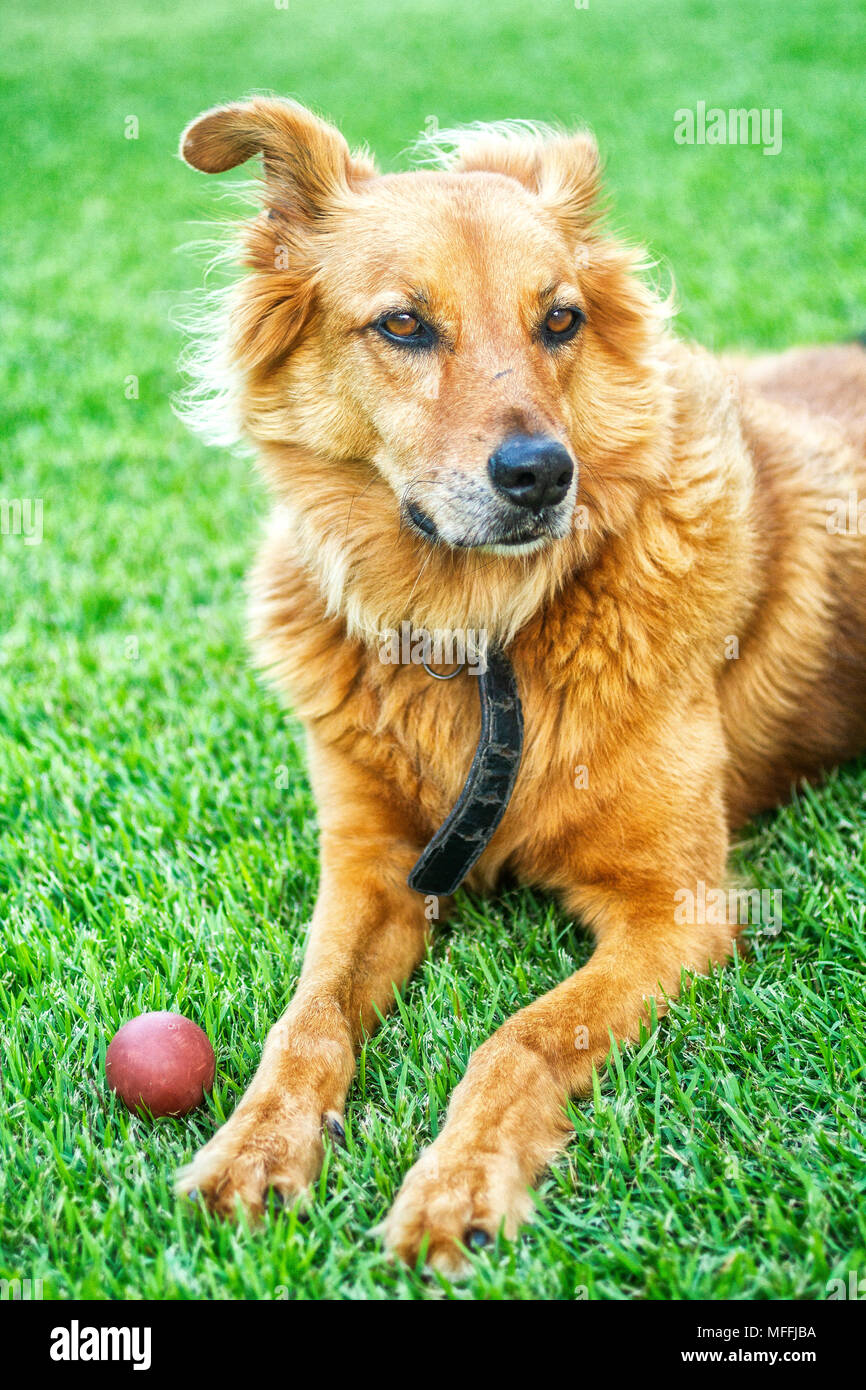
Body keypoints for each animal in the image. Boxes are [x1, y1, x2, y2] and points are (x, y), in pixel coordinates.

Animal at [173, 97, 866, 1273]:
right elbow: (306, 1019)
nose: (543, 475)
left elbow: (521, 1038)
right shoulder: (371, 863)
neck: (480, 632)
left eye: (561, 321)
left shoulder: (680, 909)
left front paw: (457, 1184)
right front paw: (254, 1147)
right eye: (404, 325)